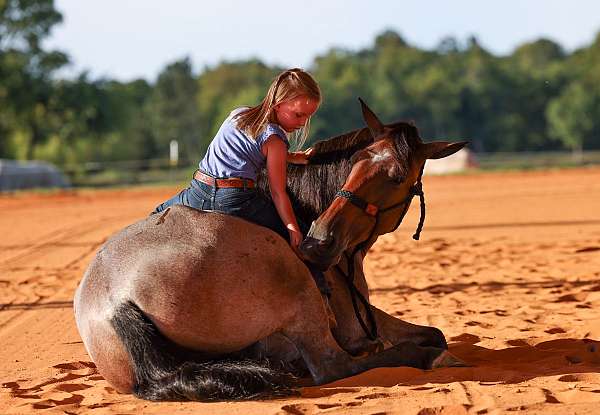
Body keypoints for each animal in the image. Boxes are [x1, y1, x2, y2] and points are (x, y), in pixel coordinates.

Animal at [74, 99, 468, 402]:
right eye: (356, 162)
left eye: (397, 176)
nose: (318, 241)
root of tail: (112, 299)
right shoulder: (357, 324)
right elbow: (424, 336)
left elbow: (432, 330)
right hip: (300, 295)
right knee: (334, 365)